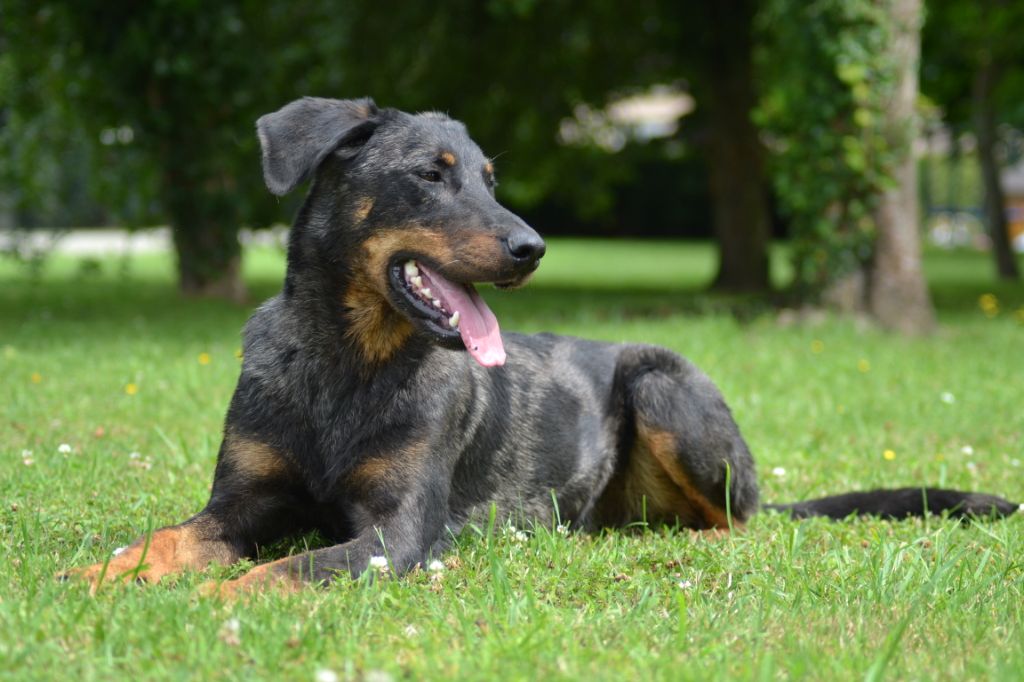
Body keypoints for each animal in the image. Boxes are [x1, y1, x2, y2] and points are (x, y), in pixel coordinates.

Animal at [68, 96, 1019, 593]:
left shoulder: (392, 535)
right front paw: (101, 577)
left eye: (492, 180)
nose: (533, 248)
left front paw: (202, 603)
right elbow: (166, 539)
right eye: (432, 174)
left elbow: (275, 573)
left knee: (737, 525)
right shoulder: (241, 505)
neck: (347, 357)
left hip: (664, 385)